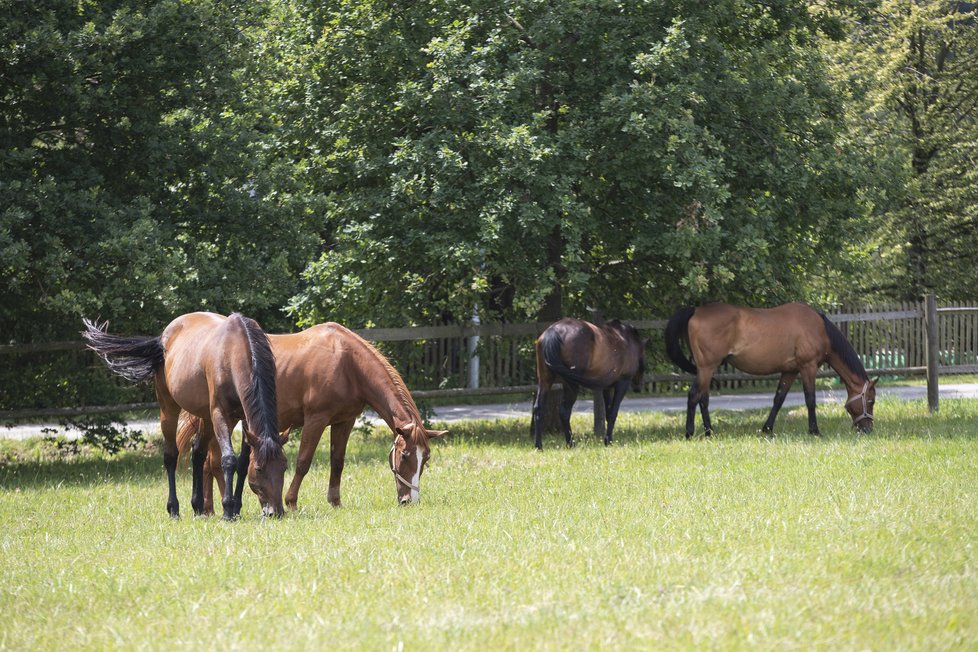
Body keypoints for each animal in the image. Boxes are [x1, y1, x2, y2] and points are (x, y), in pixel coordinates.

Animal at [82, 312, 284, 520]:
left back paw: (198, 507)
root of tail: (163, 337)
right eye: (259, 469)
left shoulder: (243, 417)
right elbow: (229, 459)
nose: (276, 512)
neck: (234, 351)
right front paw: (228, 510)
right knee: (171, 456)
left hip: (206, 418)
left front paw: (235, 508)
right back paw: (174, 509)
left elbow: (243, 463)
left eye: (284, 467)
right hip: (169, 409)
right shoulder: (220, 414)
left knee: (198, 453)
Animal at [178, 318, 446, 512]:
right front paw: (291, 501)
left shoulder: (344, 421)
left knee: (207, 462)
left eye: (426, 458)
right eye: (405, 455)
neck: (346, 363)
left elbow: (337, 462)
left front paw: (335, 501)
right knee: (211, 462)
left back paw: (209, 508)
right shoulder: (316, 419)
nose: (409, 500)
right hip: (221, 418)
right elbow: (303, 461)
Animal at [528, 318, 644, 450]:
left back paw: (539, 446)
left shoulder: (606, 388)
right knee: (564, 411)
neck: (625, 339)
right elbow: (613, 413)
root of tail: (553, 332)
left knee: (539, 408)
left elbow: (608, 413)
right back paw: (570, 443)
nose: (638, 387)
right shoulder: (622, 384)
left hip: (545, 381)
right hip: (571, 384)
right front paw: (608, 440)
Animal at [664, 302, 876, 438]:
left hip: (707, 369)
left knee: (703, 399)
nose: (867, 429)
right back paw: (690, 432)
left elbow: (778, 399)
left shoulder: (790, 371)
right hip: (706, 368)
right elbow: (810, 400)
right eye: (871, 401)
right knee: (694, 395)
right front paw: (814, 430)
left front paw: (767, 428)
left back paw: (709, 432)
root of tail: (696, 310)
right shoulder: (807, 367)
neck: (819, 329)